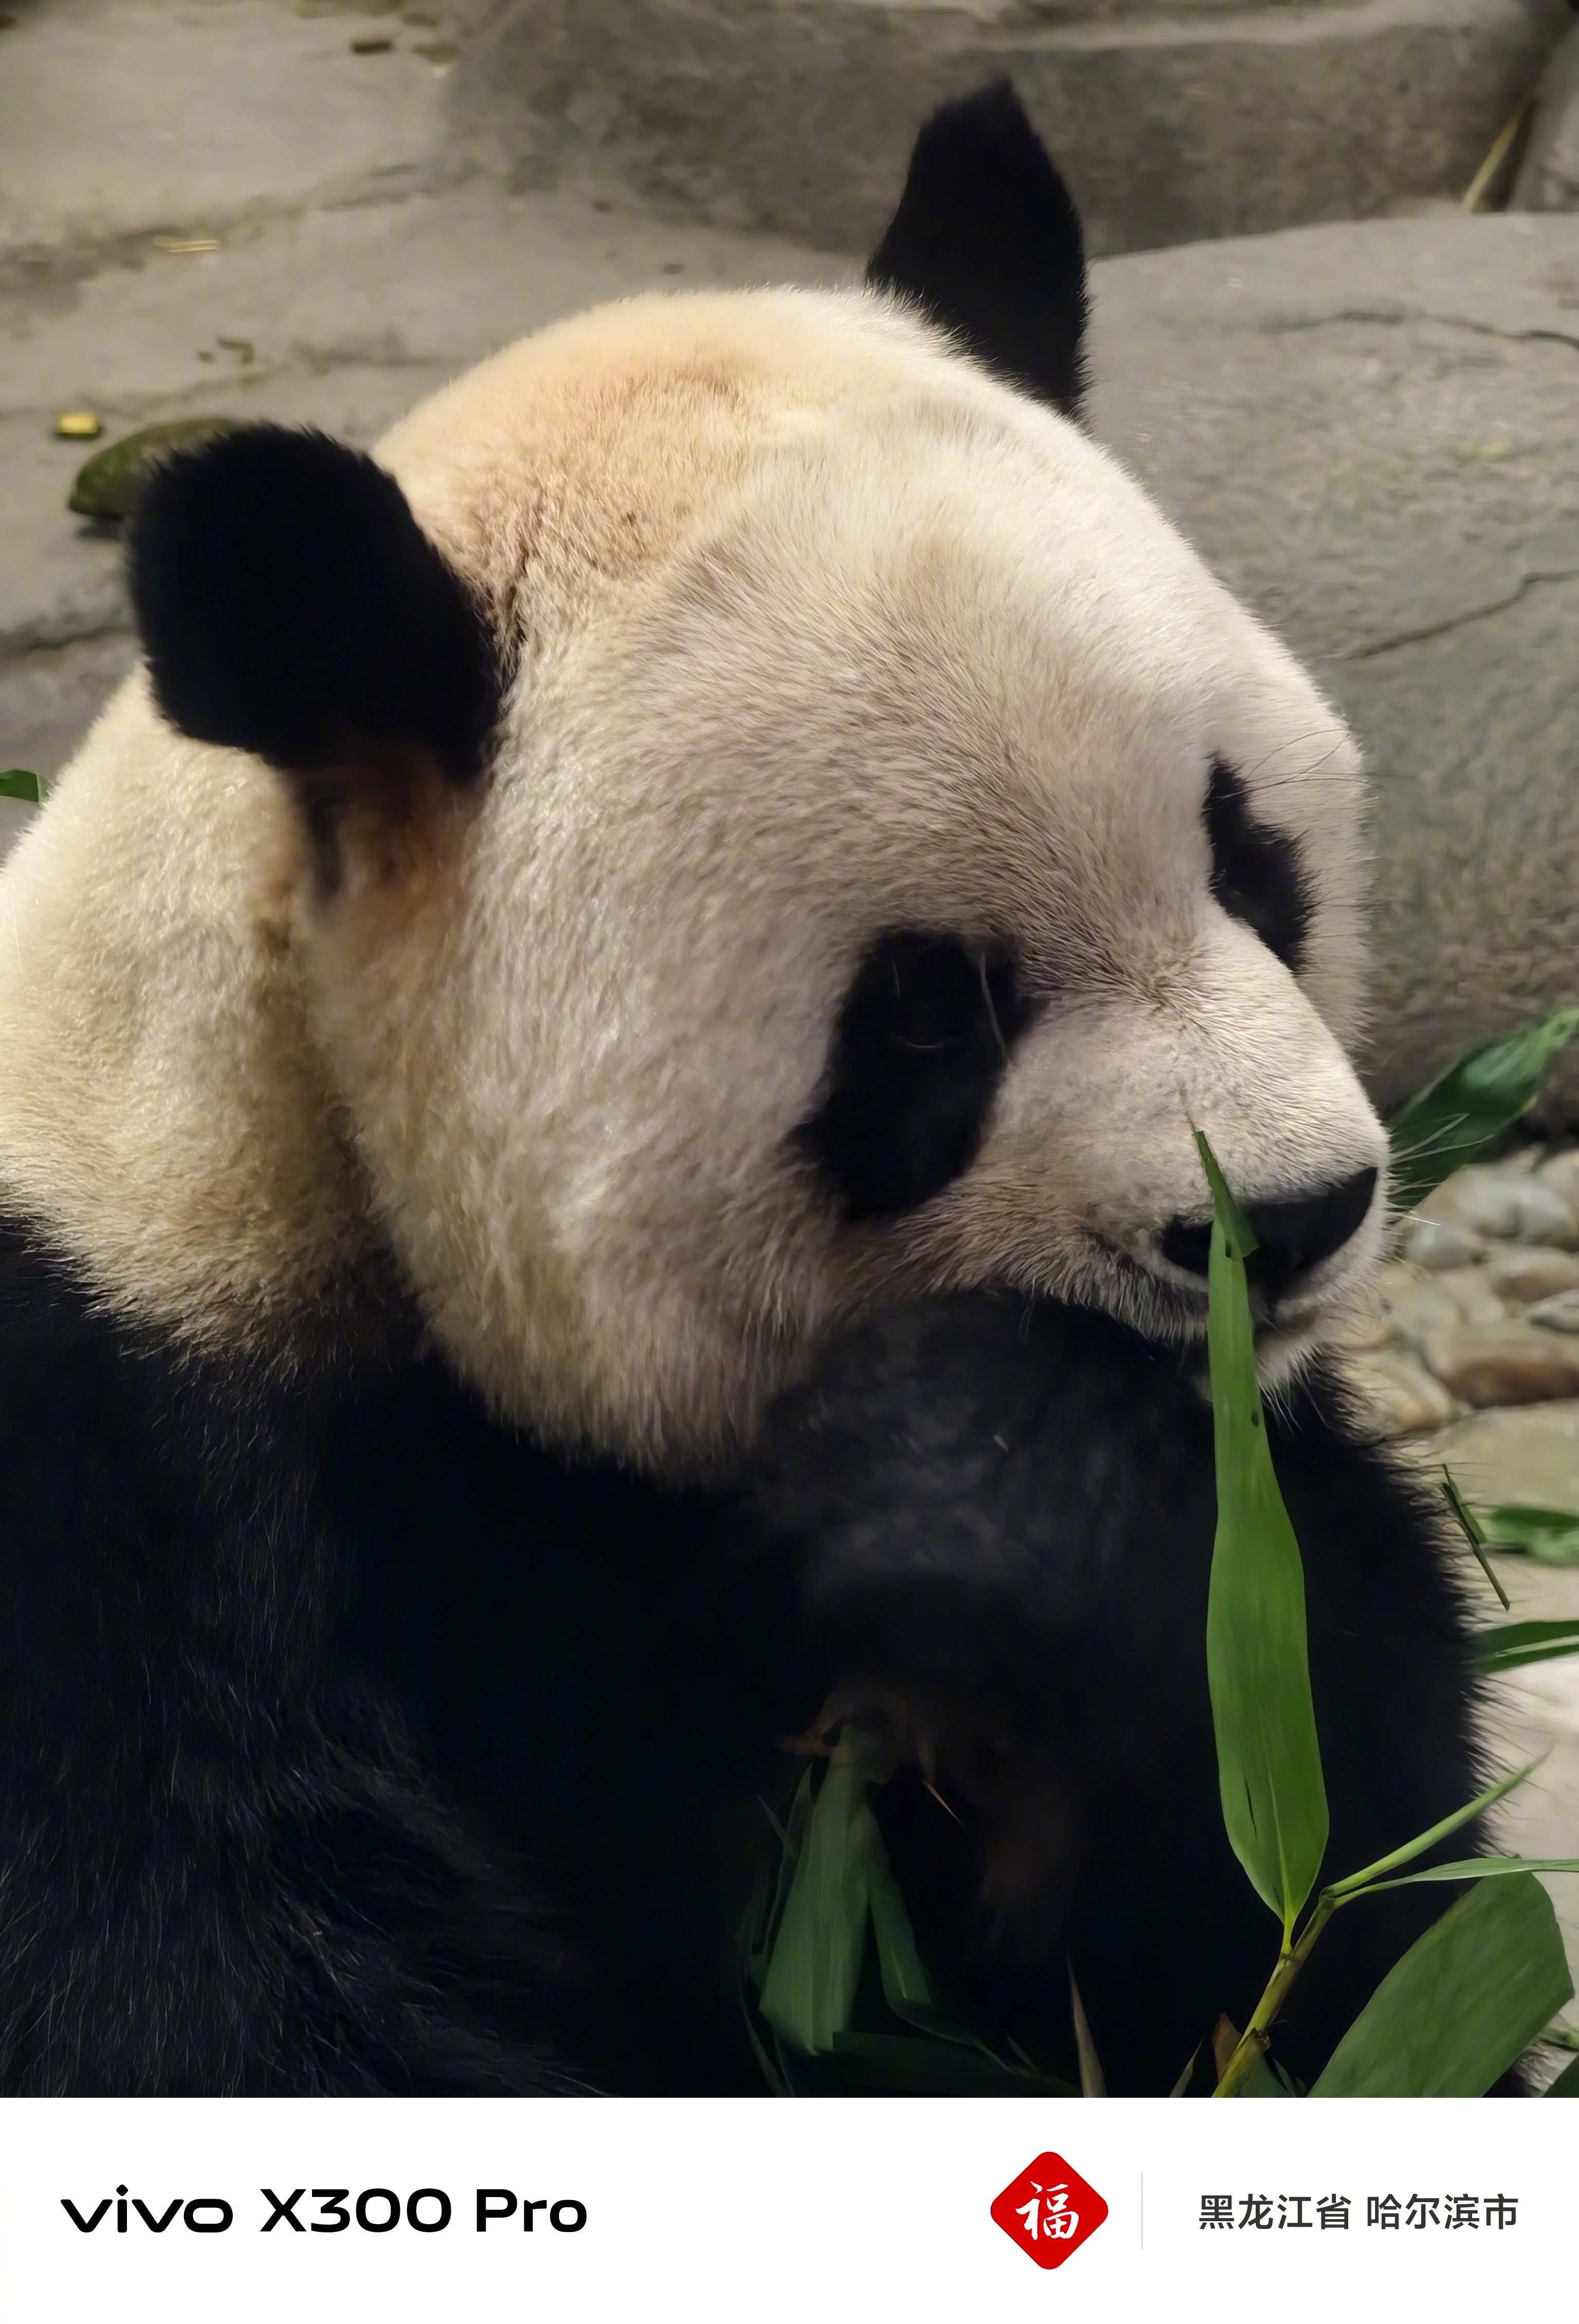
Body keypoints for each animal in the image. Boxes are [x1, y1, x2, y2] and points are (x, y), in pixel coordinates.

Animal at [0, 84, 1503, 2098]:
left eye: (1251, 861)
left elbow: (1324, 1923)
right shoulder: (116, 1494)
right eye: (929, 1017)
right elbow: (214, 2003)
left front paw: (996, 1486)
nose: (1291, 1219)